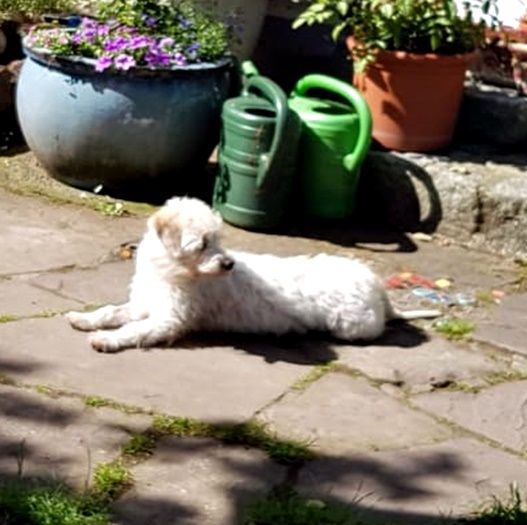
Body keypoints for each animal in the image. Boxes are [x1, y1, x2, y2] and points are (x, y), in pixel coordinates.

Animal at [65, 197, 440, 352]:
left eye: (219, 239)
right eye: (202, 243)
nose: (228, 264)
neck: (171, 271)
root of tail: (380, 292)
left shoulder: (168, 319)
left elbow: (133, 330)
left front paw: (106, 340)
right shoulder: (145, 302)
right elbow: (111, 311)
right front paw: (85, 319)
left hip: (354, 326)